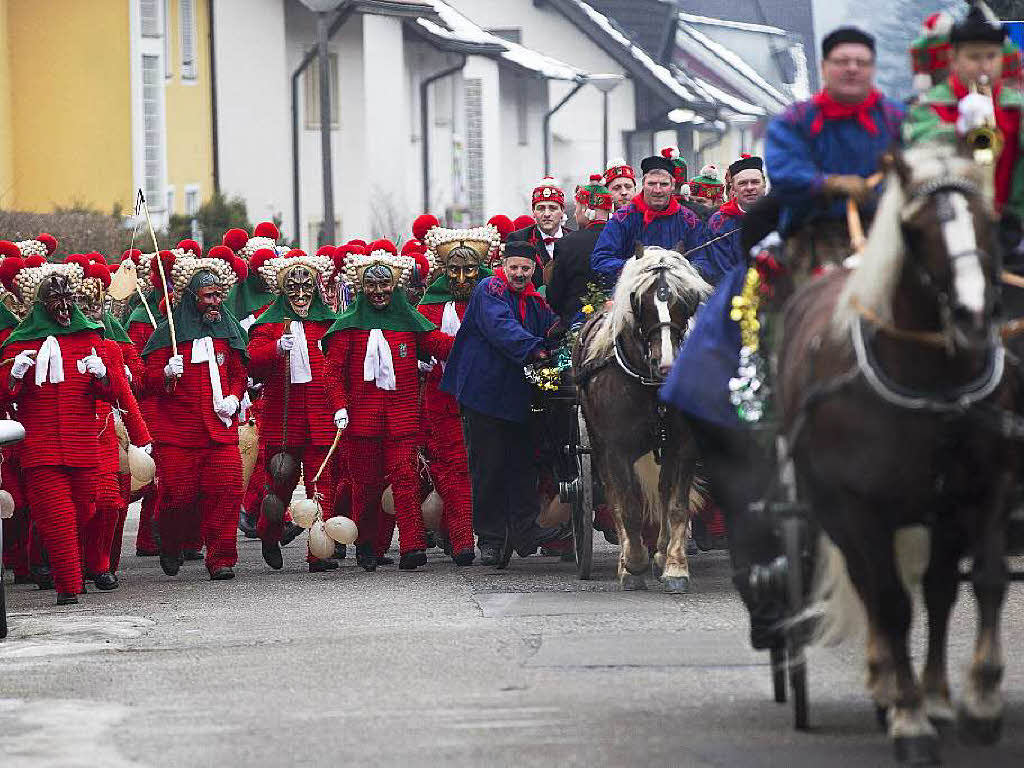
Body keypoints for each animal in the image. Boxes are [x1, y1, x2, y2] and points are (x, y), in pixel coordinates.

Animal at [577, 247, 712, 593]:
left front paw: (675, 567)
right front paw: (633, 564)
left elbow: (675, 505)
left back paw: (662, 553)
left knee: (663, 492)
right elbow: (628, 506)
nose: (667, 364)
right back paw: (627, 561)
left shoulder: (683, 445)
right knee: (614, 497)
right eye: (640, 301)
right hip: (597, 447)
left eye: (685, 299)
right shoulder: (615, 449)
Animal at [778, 144, 1019, 765]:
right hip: (835, 511)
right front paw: (909, 720)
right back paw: (891, 689)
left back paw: (933, 695)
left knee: (936, 588)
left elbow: (981, 581)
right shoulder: (862, 508)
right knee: (873, 589)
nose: (974, 316)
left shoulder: (984, 489)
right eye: (917, 229)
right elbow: (889, 603)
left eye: (988, 221)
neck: (932, 380)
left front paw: (979, 702)